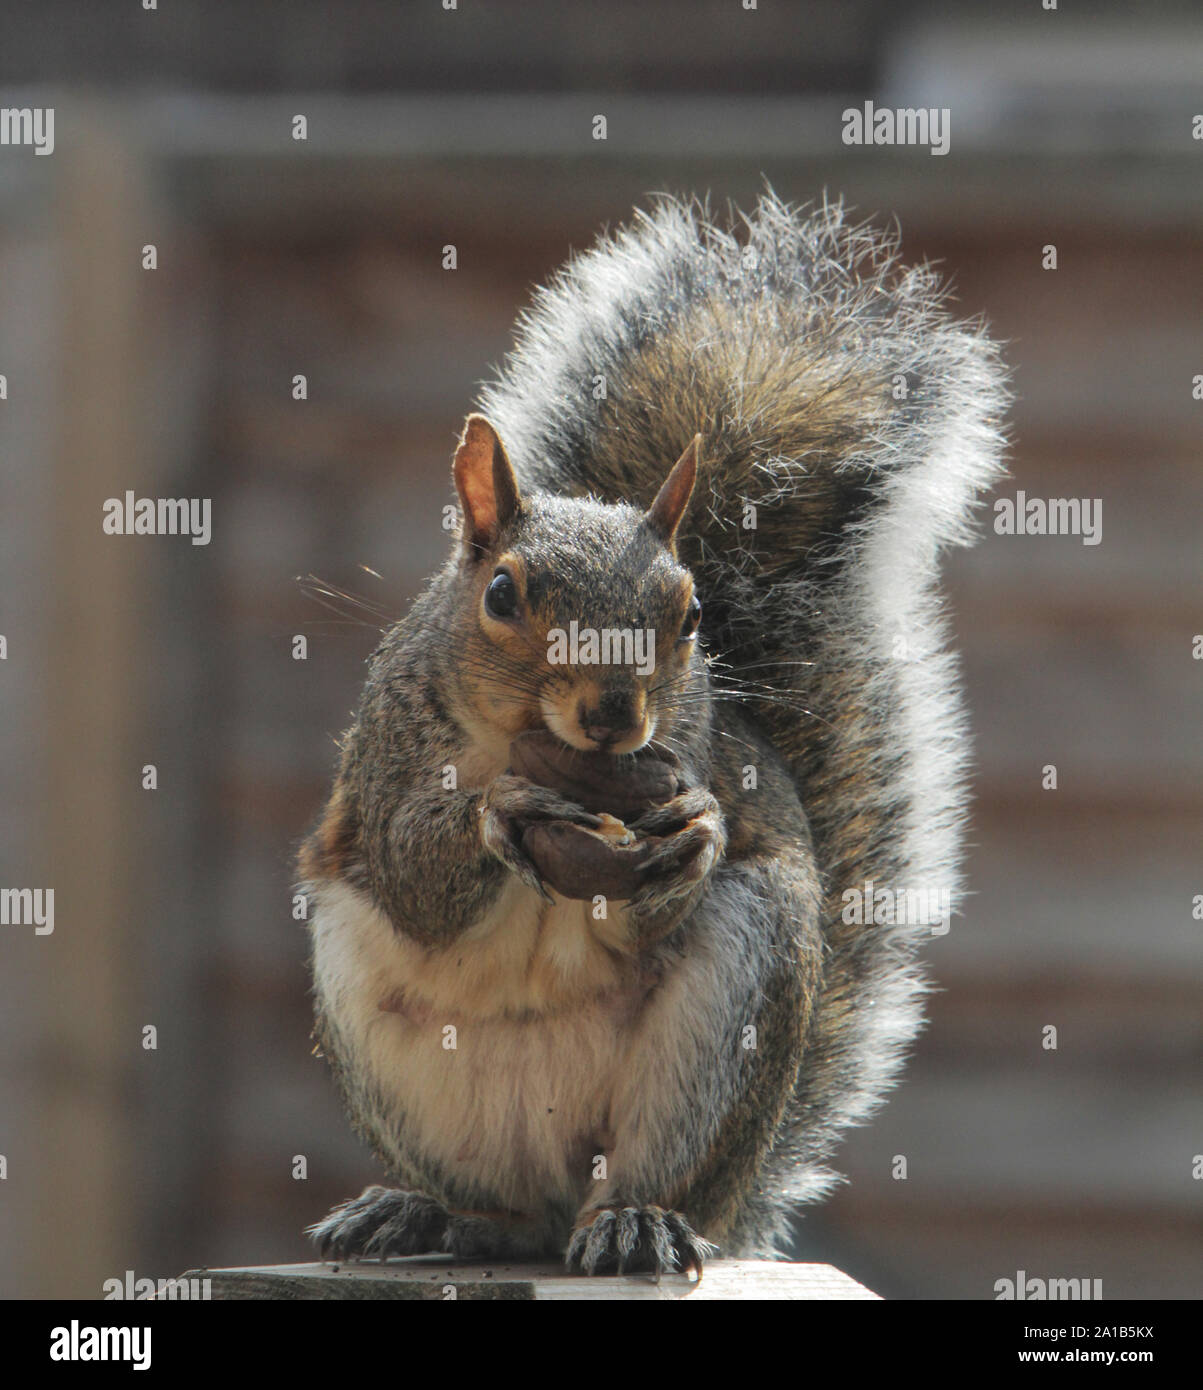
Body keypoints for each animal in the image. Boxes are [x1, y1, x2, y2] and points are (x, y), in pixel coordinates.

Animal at [299, 191, 1008, 1275]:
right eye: (501, 594)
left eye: (690, 613)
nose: (612, 712)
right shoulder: (387, 753)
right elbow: (413, 874)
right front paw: (499, 809)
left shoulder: (696, 760)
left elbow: (659, 888)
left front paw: (690, 837)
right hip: (376, 1029)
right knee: (502, 1210)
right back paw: (428, 1214)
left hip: (736, 1004)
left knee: (643, 1184)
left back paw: (637, 1221)